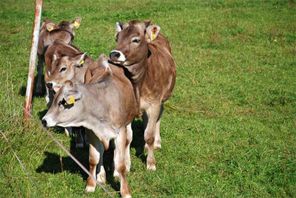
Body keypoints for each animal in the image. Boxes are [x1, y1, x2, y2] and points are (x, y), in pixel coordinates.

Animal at [110, 20, 177, 172]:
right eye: (117, 38)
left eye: (135, 39)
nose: (114, 54)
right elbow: (127, 139)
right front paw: (127, 164)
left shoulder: (154, 104)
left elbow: (149, 135)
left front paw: (151, 163)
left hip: (161, 100)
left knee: (158, 118)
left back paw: (156, 143)